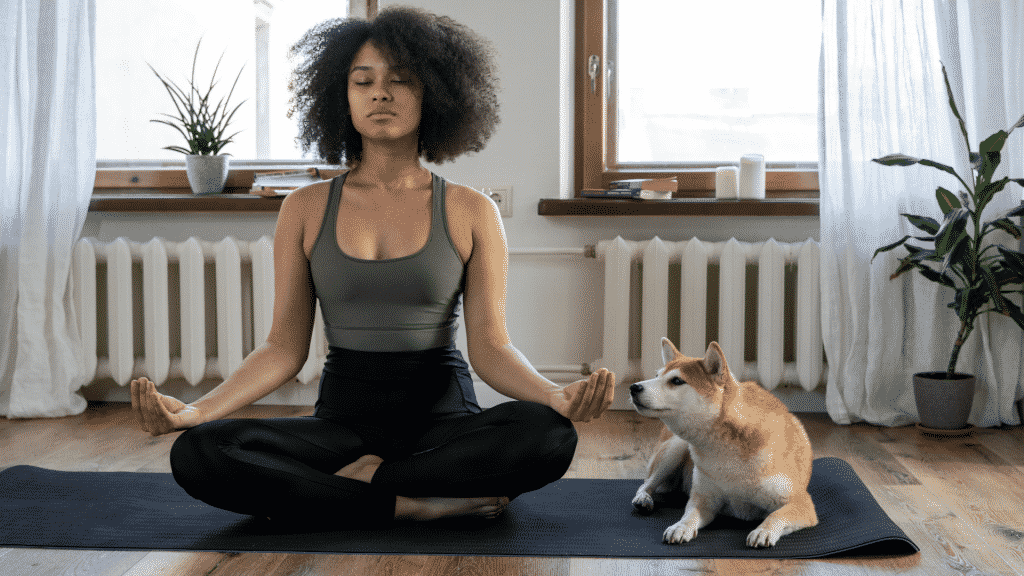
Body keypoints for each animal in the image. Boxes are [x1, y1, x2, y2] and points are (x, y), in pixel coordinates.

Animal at [622, 338, 815, 545]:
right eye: (656, 375)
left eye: (676, 381)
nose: (633, 387)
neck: (726, 446)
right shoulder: (703, 499)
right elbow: (688, 516)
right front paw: (680, 527)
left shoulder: (801, 503)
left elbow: (776, 515)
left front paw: (763, 531)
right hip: (675, 449)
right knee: (646, 483)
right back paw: (643, 499)